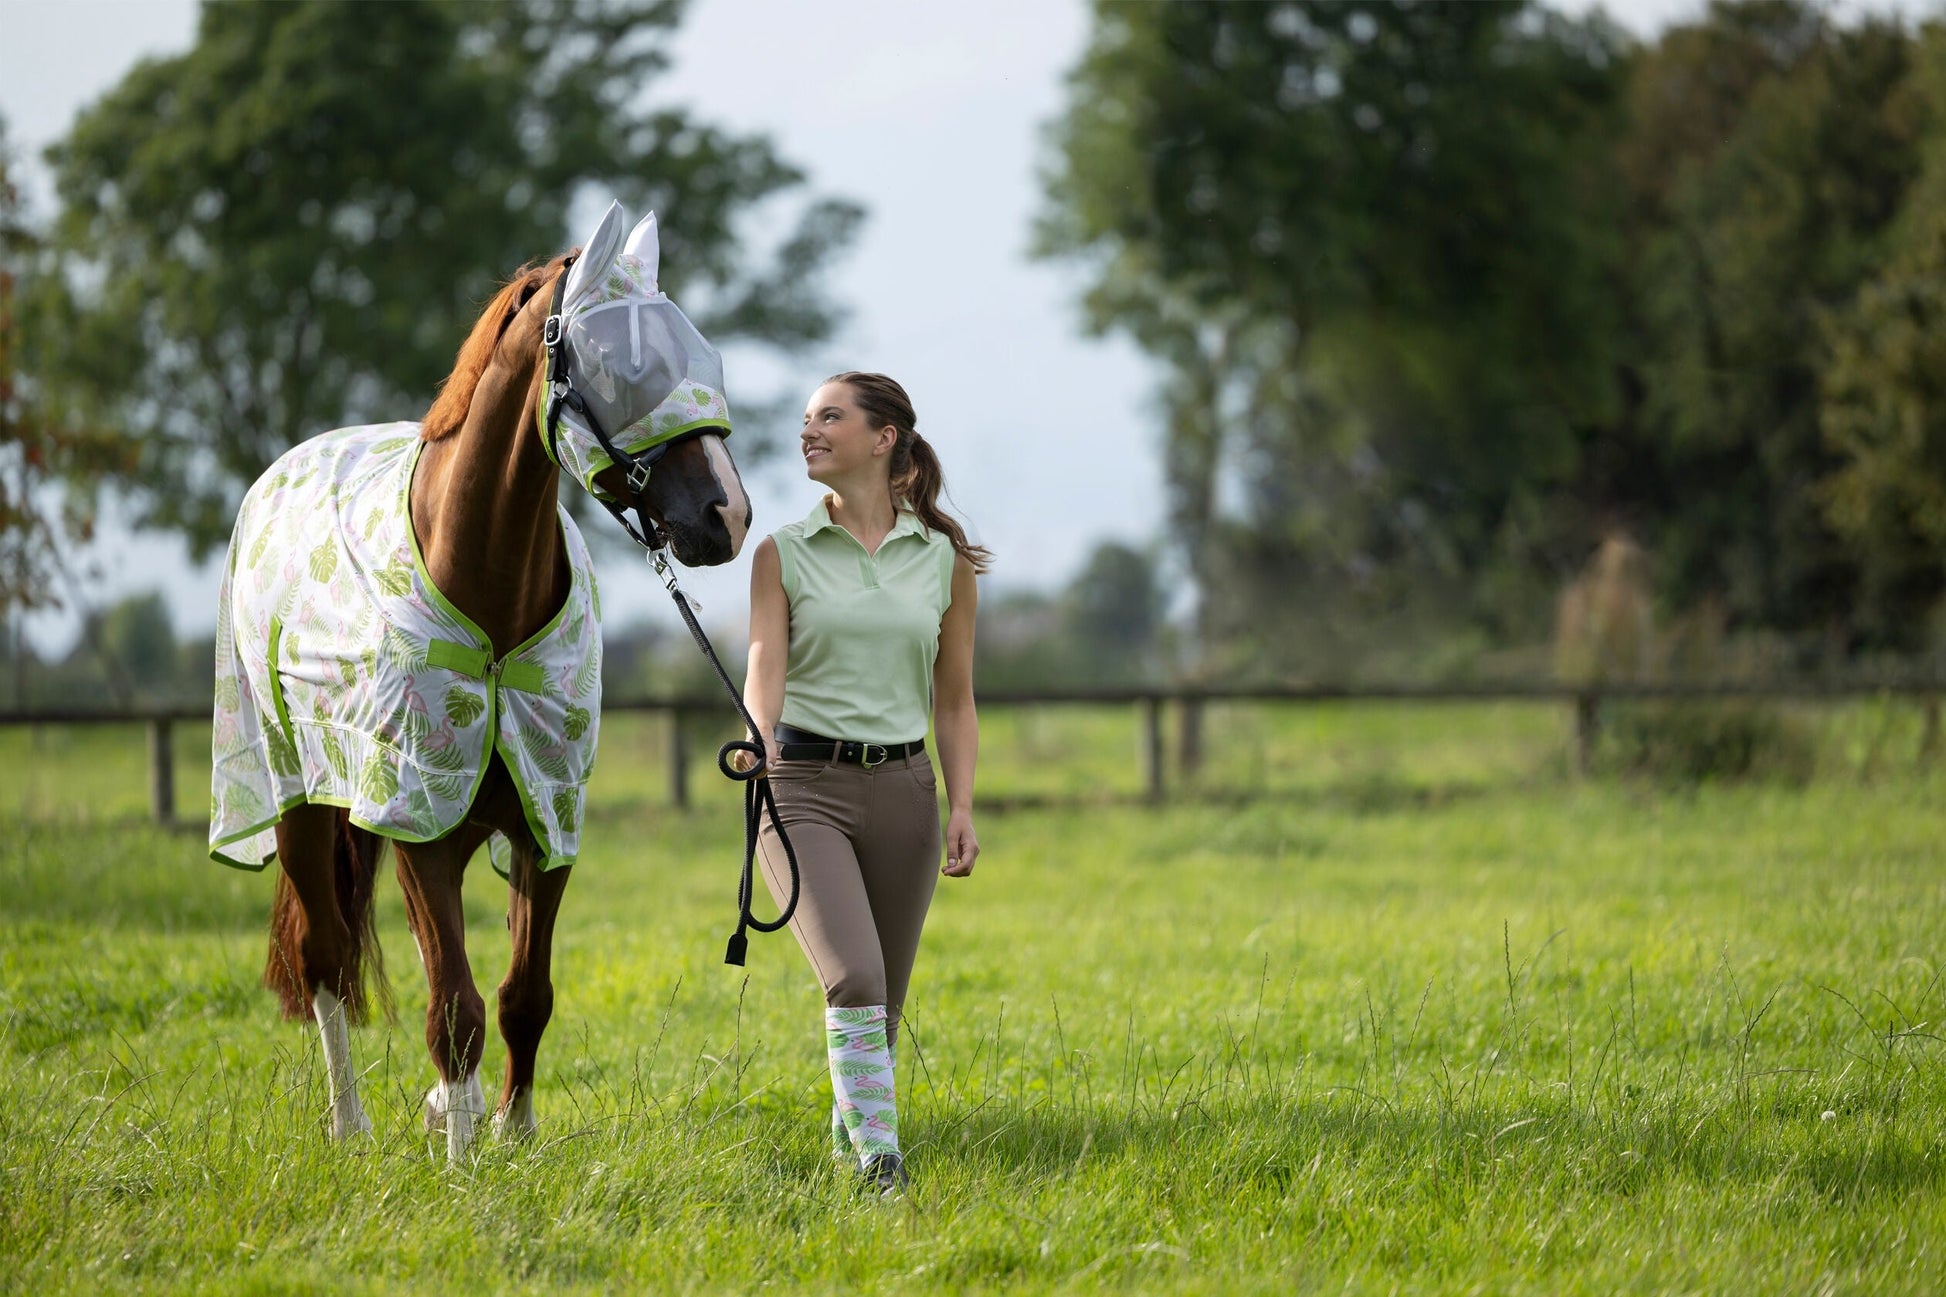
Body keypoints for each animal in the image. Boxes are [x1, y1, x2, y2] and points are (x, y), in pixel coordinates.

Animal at [208, 203, 750, 1159]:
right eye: (627, 367)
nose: (729, 515)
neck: (487, 598)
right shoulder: (416, 818)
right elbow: (453, 1006)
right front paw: (465, 1159)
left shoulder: (545, 819)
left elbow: (522, 995)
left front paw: (509, 1129)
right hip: (304, 803)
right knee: (326, 957)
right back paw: (350, 1124)